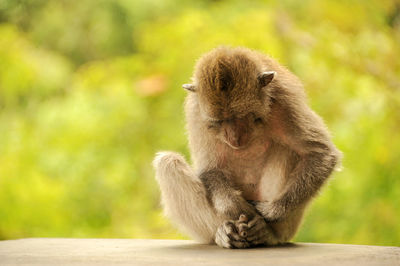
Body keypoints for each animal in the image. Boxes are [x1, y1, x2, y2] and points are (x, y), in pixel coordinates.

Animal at [152, 46, 340, 248]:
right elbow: (209, 168)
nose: (233, 136)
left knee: (287, 149)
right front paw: (233, 206)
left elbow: (320, 153)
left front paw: (273, 211)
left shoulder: (285, 102)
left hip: (289, 226)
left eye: (240, 116)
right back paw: (223, 232)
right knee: (168, 163)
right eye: (220, 121)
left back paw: (266, 233)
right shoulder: (196, 113)